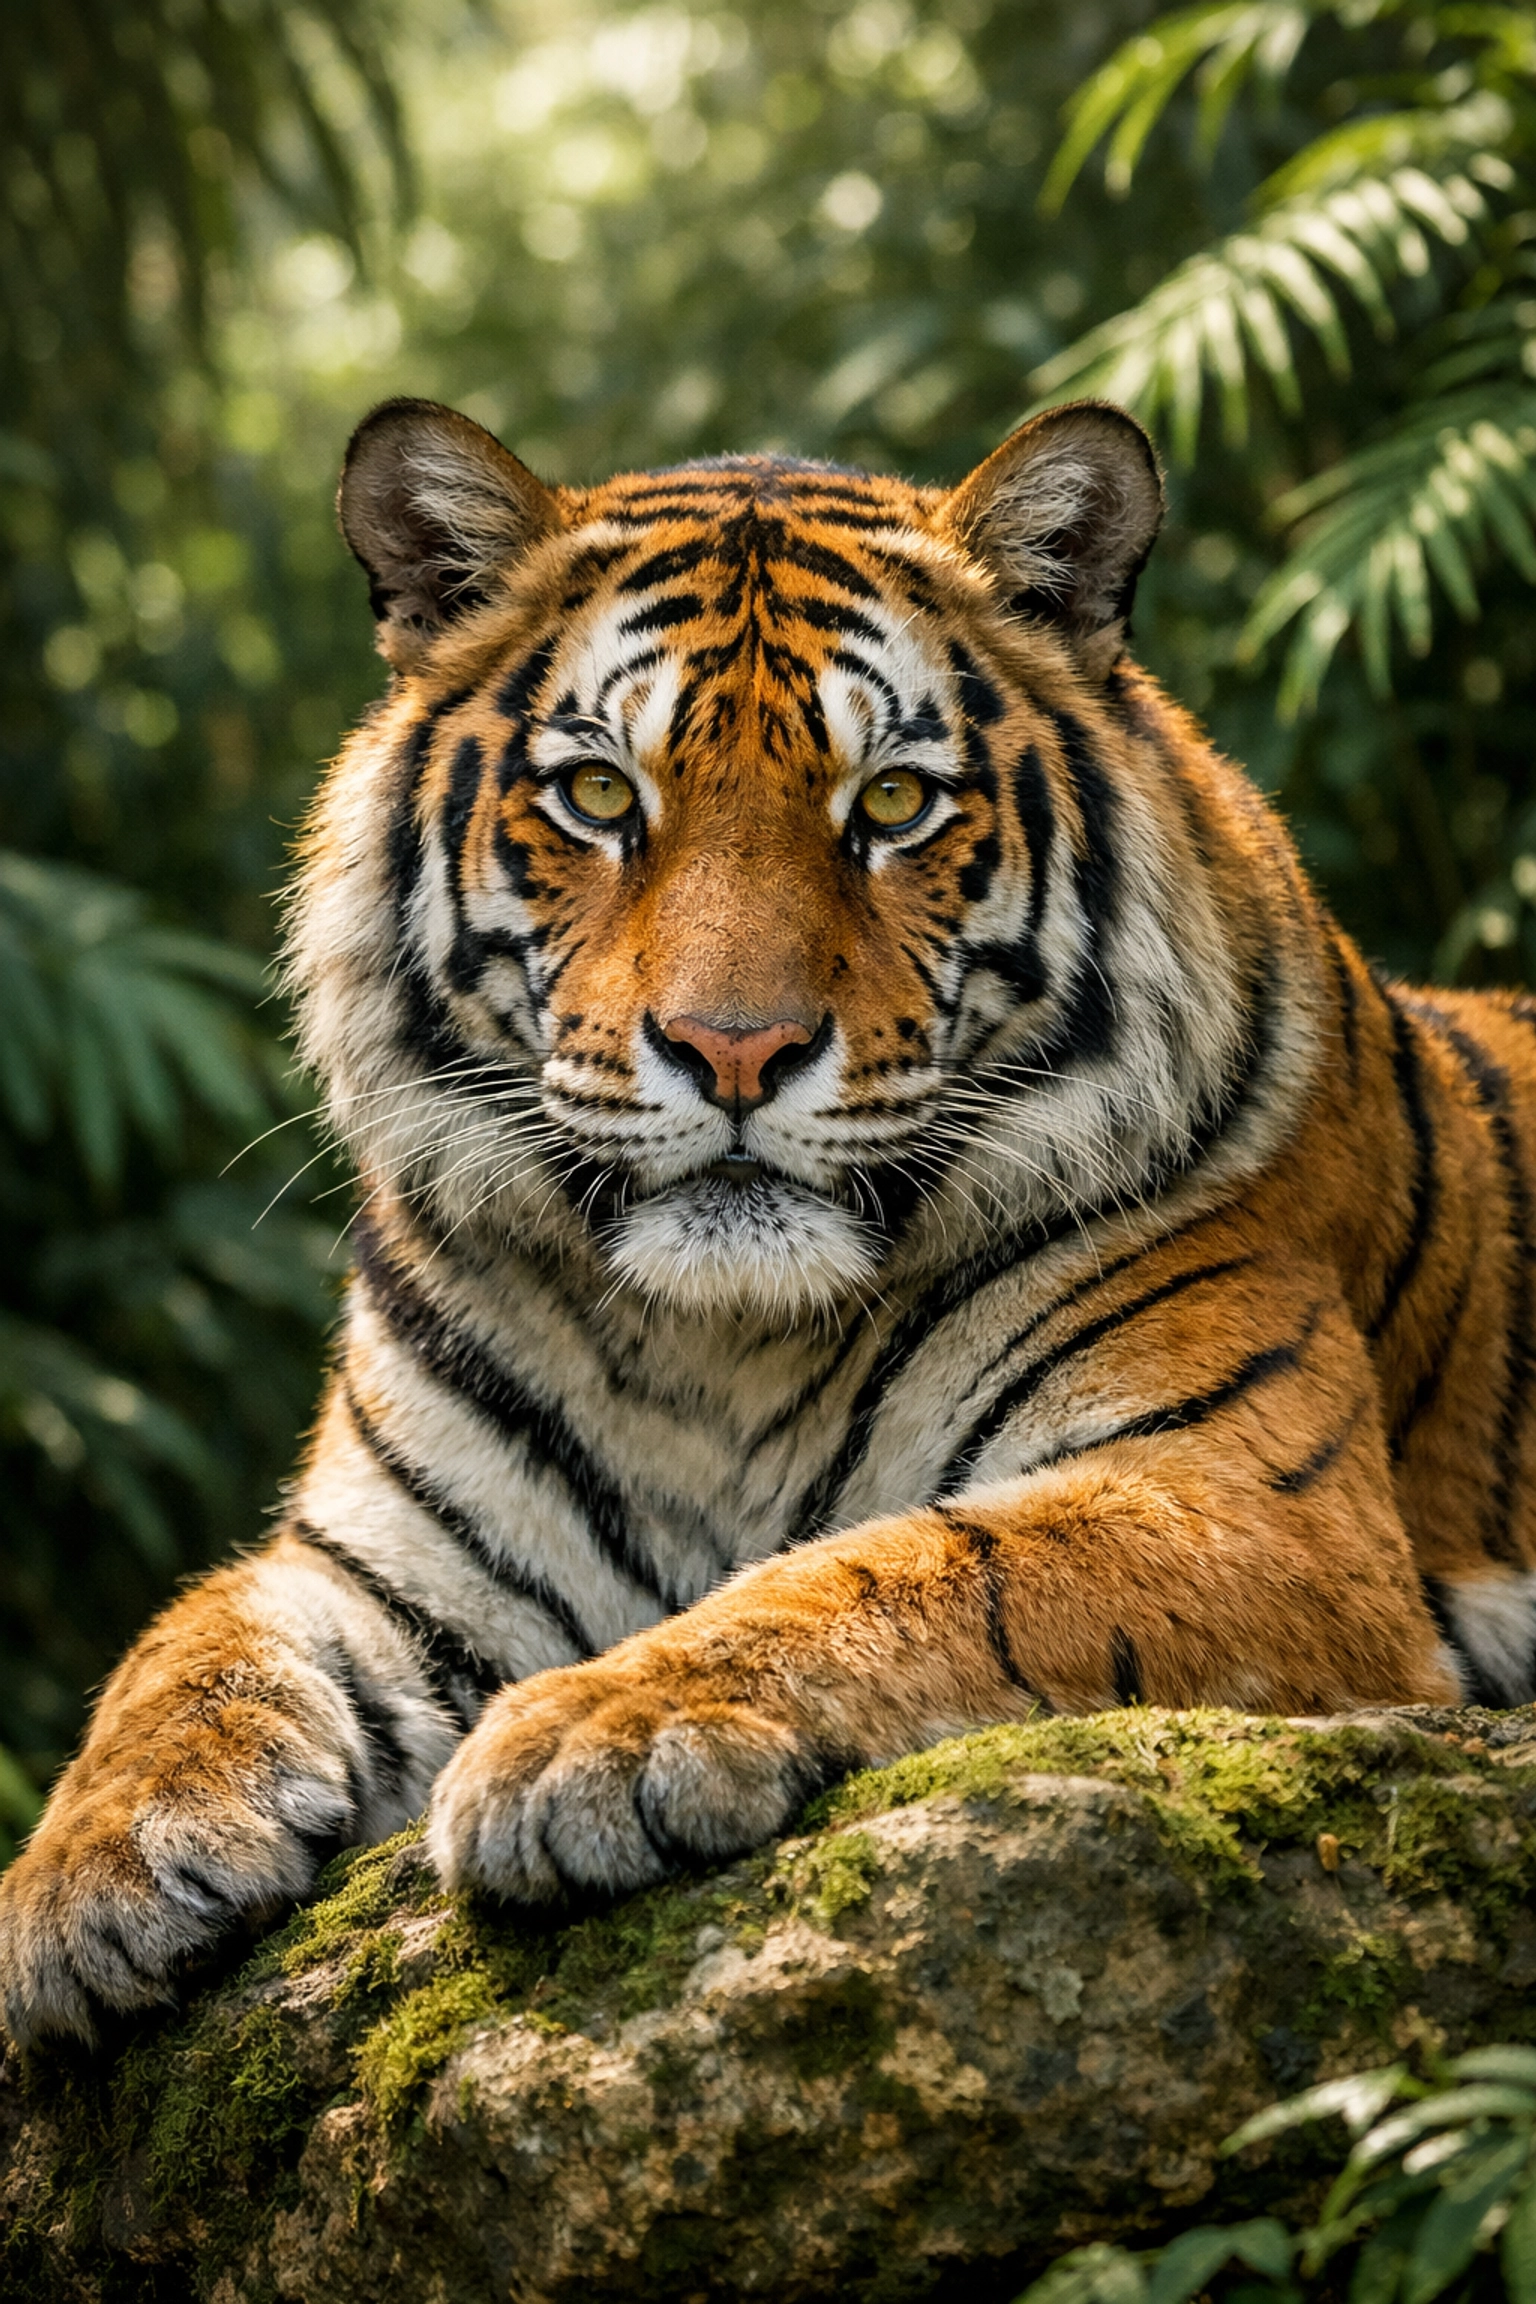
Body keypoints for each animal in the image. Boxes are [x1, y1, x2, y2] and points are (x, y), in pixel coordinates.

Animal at [3, 392, 1533, 2051]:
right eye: (602, 795)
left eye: (894, 803)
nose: (734, 1050)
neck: (715, 1347)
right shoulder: (389, 1565)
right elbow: (192, 1637)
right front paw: (83, 1876)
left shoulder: (1262, 1507)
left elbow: (930, 1566)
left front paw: (596, 1733)